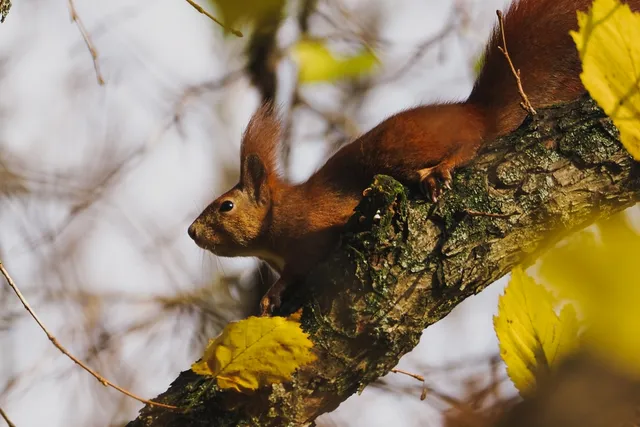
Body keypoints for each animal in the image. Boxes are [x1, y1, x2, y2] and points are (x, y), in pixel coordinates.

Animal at [189, 0, 640, 315]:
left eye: (225, 206)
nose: (192, 232)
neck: (278, 215)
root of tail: (476, 111)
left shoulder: (311, 232)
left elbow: (300, 267)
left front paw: (272, 293)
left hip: (403, 149)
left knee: (467, 146)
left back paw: (441, 170)